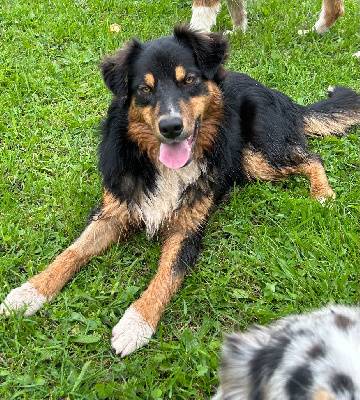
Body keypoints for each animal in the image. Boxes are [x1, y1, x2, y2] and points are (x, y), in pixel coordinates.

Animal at [0, 25, 360, 356]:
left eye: (188, 80)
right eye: (145, 88)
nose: (171, 127)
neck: (160, 165)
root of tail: (283, 98)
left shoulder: (187, 229)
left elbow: (166, 275)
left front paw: (136, 323)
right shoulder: (113, 210)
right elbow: (72, 252)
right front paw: (29, 292)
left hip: (257, 157)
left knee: (312, 158)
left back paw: (323, 194)